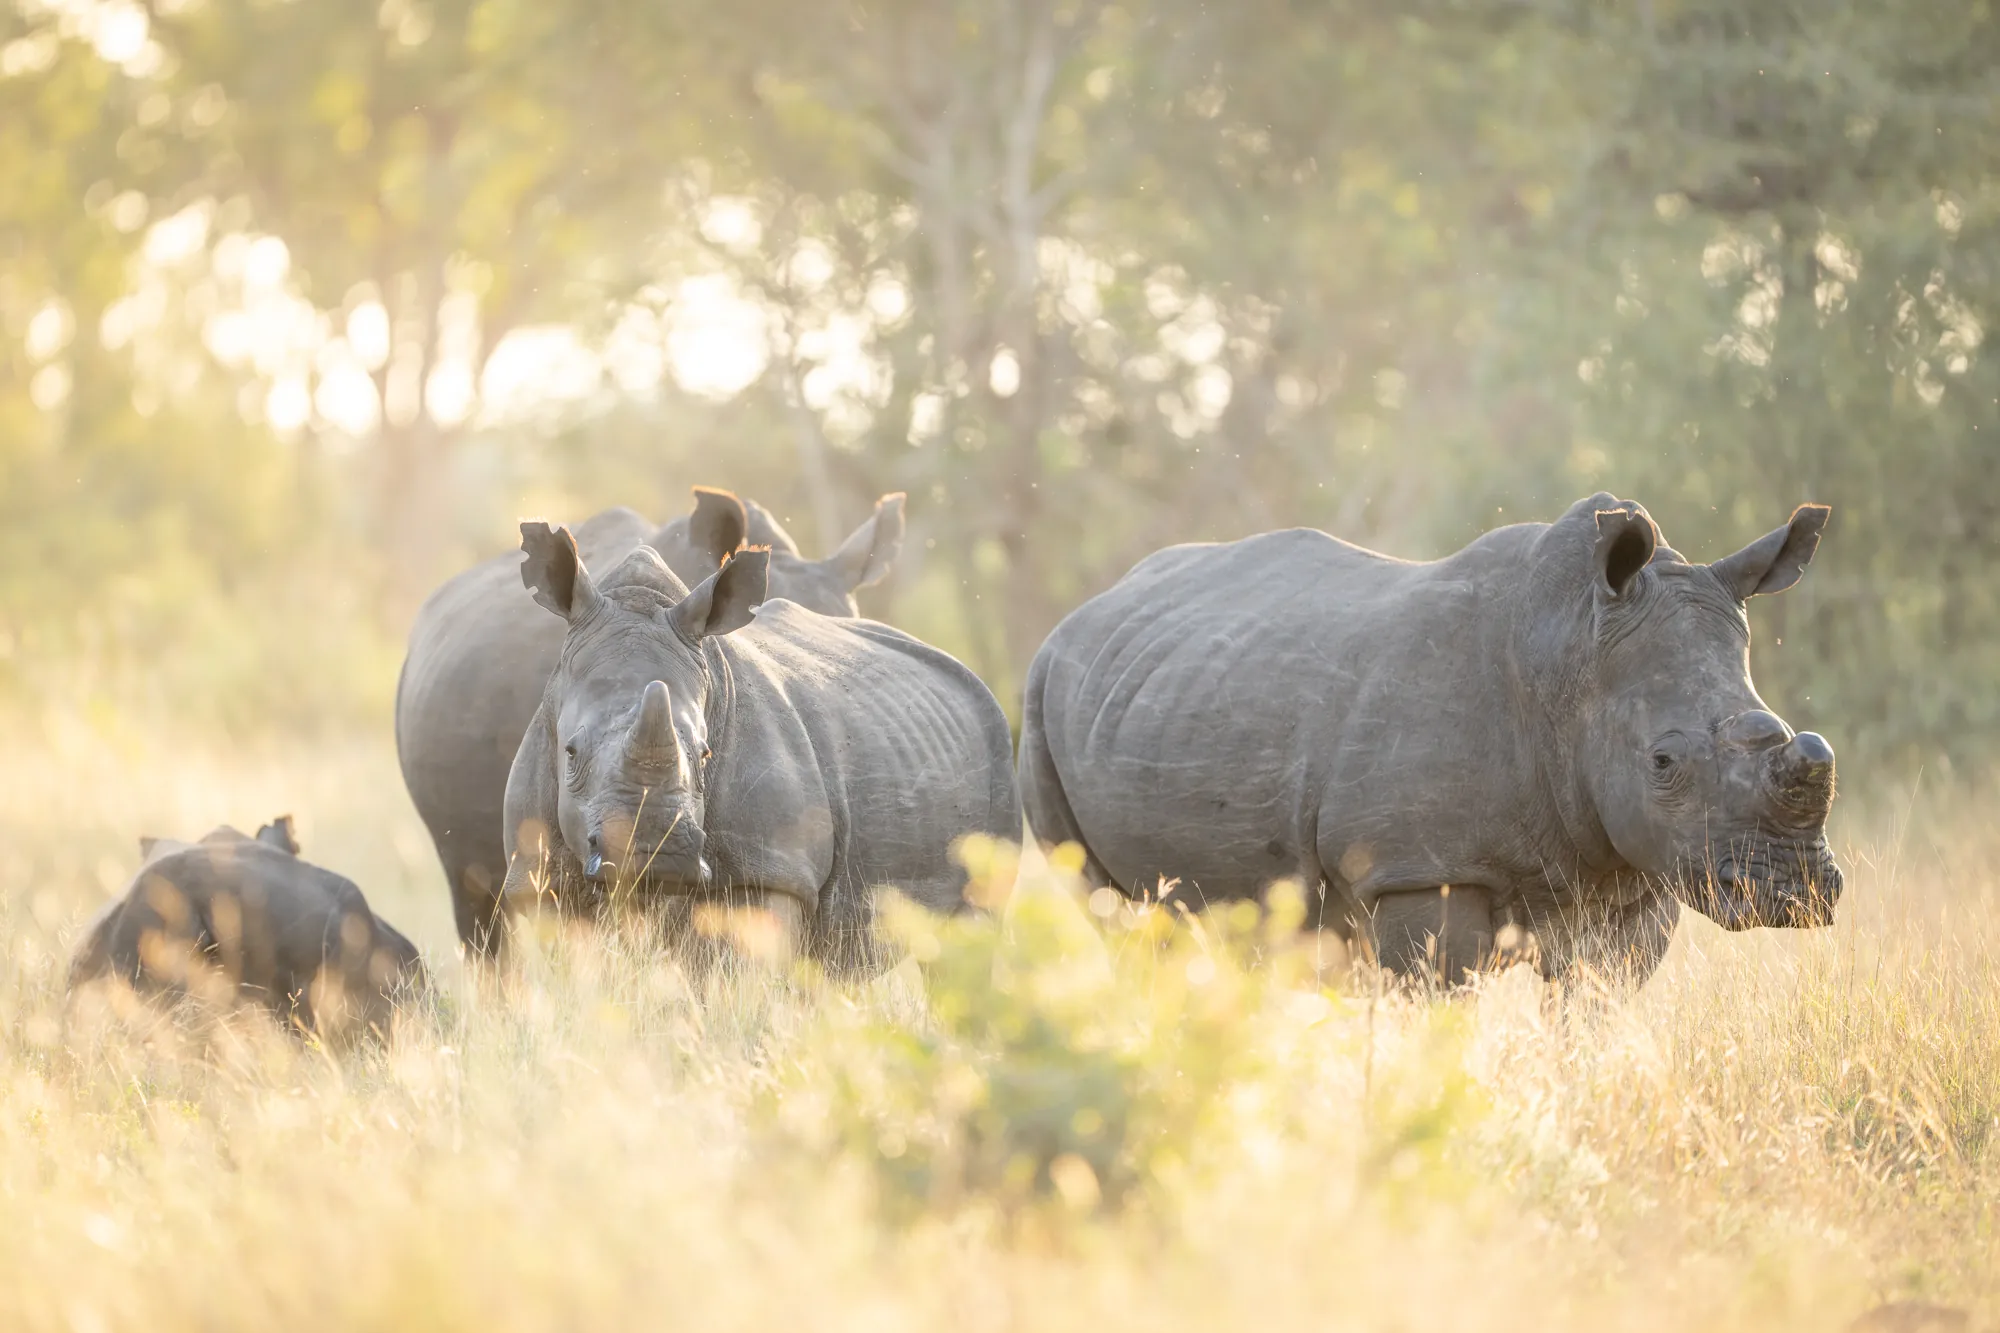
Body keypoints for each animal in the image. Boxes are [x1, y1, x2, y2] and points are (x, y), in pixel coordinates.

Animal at [1019, 494, 1842, 983]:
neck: (1573, 658)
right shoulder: (1420, 866)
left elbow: (1592, 1009)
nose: (1794, 892)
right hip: (1039, 700)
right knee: (1113, 913)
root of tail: (1081, 616)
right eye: (1664, 761)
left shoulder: (1638, 868)